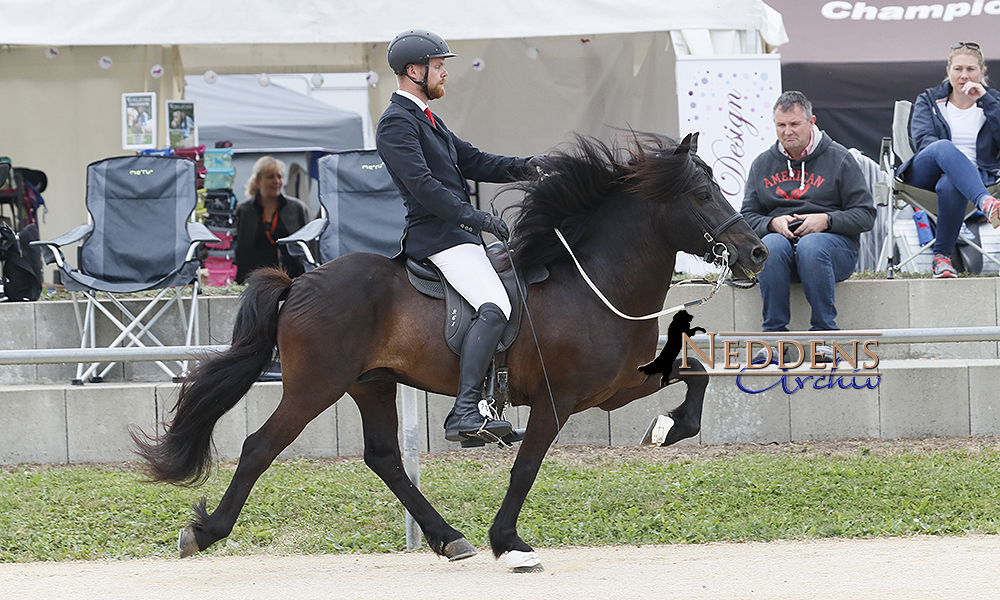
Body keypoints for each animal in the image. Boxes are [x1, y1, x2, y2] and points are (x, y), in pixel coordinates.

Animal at [133, 131, 768, 572]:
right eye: (701, 193)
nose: (757, 252)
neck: (595, 283)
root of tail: (301, 281)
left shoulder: (615, 387)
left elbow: (697, 372)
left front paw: (668, 428)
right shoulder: (558, 401)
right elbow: (525, 468)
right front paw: (509, 543)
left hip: (372, 383)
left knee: (384, 457)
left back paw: (448, 538)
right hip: (315, 386)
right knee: (260, 446)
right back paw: (206, 531)